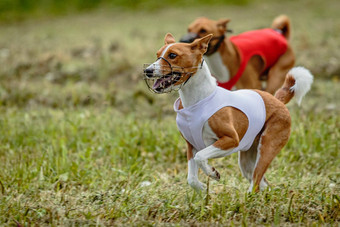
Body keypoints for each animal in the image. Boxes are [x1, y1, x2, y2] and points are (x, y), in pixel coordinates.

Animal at [143, 33, 314, 192]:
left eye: (172, 55)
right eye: (158, 55)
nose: (147, 70)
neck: (196, 101)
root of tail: (277, 99)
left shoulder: (231, 140)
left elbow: (201, 156)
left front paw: (212, 173)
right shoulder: (191, 145)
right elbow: (191, 179)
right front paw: (204, 189)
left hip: (267, 147)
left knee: (256, 181)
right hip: (247, 160)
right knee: (263, 183)